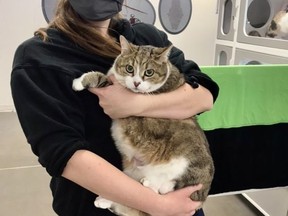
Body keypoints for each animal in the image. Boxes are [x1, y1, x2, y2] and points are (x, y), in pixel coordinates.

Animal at [73, 35, 215, 216]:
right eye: (129, 68)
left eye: (149, 72)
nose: (136, 83)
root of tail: (202, 196)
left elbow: (101, 79)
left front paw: (78, 83)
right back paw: (105, 200)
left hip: (190, 165)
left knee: (166, 189)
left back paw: (152, 184)